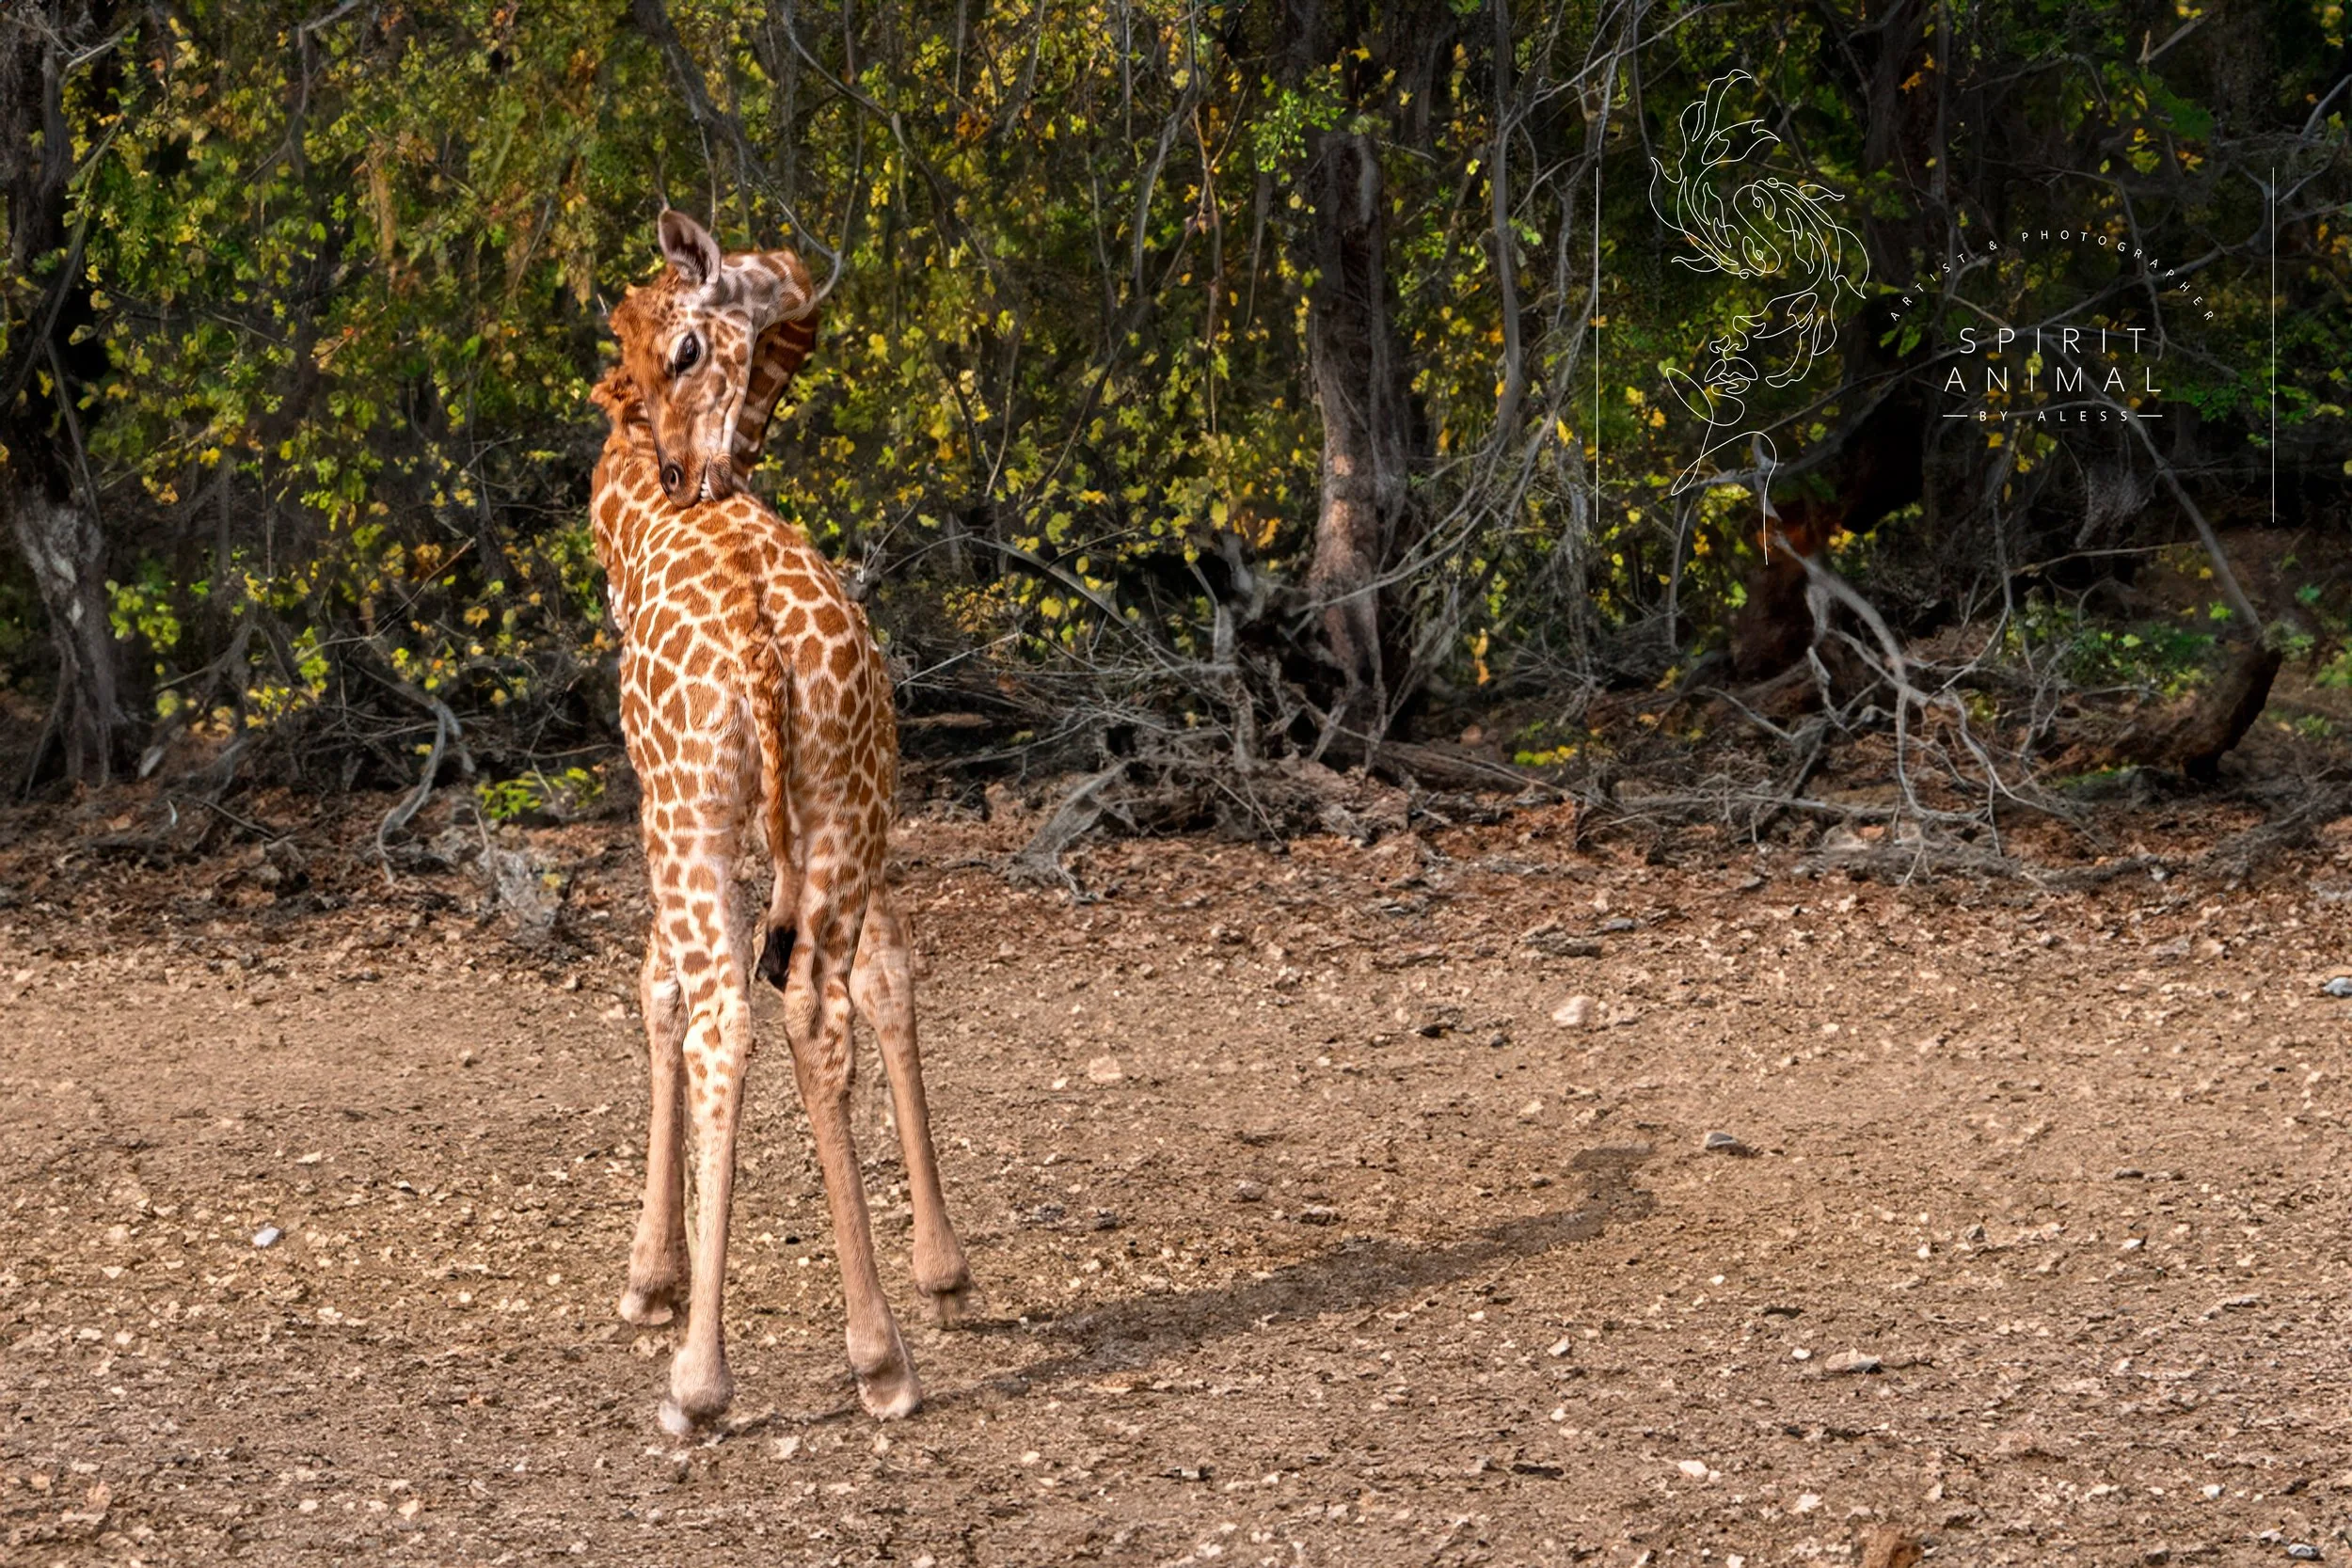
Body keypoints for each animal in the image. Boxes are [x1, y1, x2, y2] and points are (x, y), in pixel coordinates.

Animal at [587, 210, 972, 1431]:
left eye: (688, 347)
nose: (686, 470)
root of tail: (762, 647)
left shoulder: (651, 789)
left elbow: (656, 988)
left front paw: (649, 1278)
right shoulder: (855, 816)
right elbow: (892, 970)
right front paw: (944, 1269)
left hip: (692, 811)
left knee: (721, 1012)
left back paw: (699, 1381)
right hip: (844, 798)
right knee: (816, 1002)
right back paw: (881, 1356)